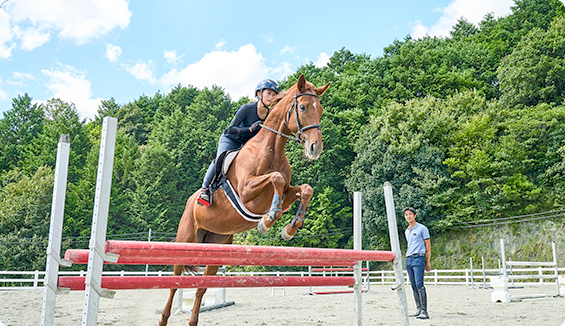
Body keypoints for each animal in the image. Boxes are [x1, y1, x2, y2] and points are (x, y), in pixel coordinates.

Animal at [156, 74, 330, 326]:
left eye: (321, 110)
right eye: (303, 107)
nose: (315, 148)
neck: (271, 149)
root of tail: (189, 203)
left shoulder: (288, 192)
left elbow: (305, 189)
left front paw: (290, 228)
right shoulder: (247, 191)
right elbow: (275, 178)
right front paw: (268, 220)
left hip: (216, 246)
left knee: (201, 288)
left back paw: (193, 321)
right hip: (186, 240)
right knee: (174, 282)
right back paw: (163, 319)